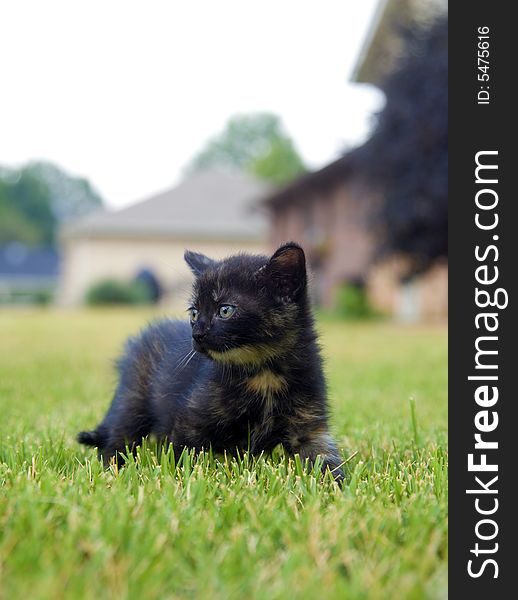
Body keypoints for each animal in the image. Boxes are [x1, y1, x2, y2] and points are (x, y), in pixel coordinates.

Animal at [78, 241, 346, 480]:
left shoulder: (309, 426)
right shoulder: (190, 420)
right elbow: (184, 455)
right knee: (120, 436)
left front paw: (335, 487)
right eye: (194, 313)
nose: (196, 335)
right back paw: (111, 469)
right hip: (133, 399)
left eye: (225, 310)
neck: (264, 373)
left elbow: (324, 459)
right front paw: (182, 479)